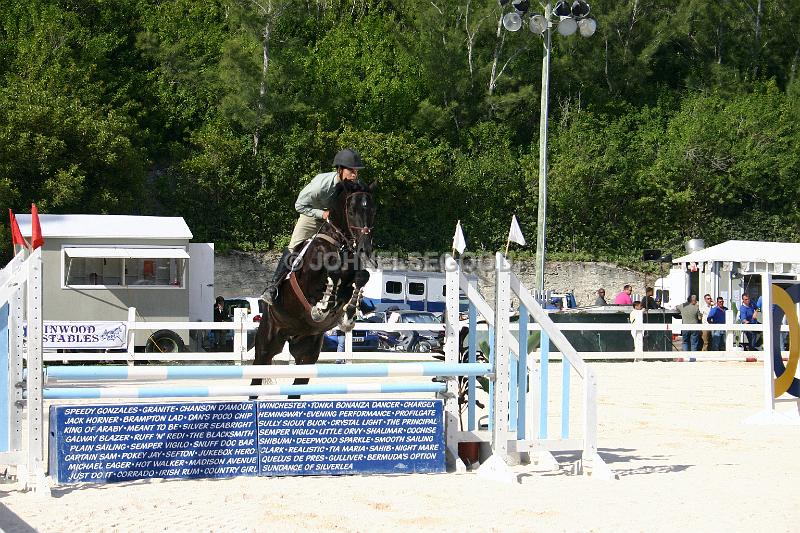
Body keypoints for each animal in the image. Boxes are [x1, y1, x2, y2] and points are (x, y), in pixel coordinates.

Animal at [250, 179, 376, 394]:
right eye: (351, 210)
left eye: (373, 210)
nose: (364, 248)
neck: (340, 245)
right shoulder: (309, 280)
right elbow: (332, 275)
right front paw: (321, 308)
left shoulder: (354, 275)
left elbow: (361, 277)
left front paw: (349, 314)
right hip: (266, 345)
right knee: (256, 377)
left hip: (307, 353)